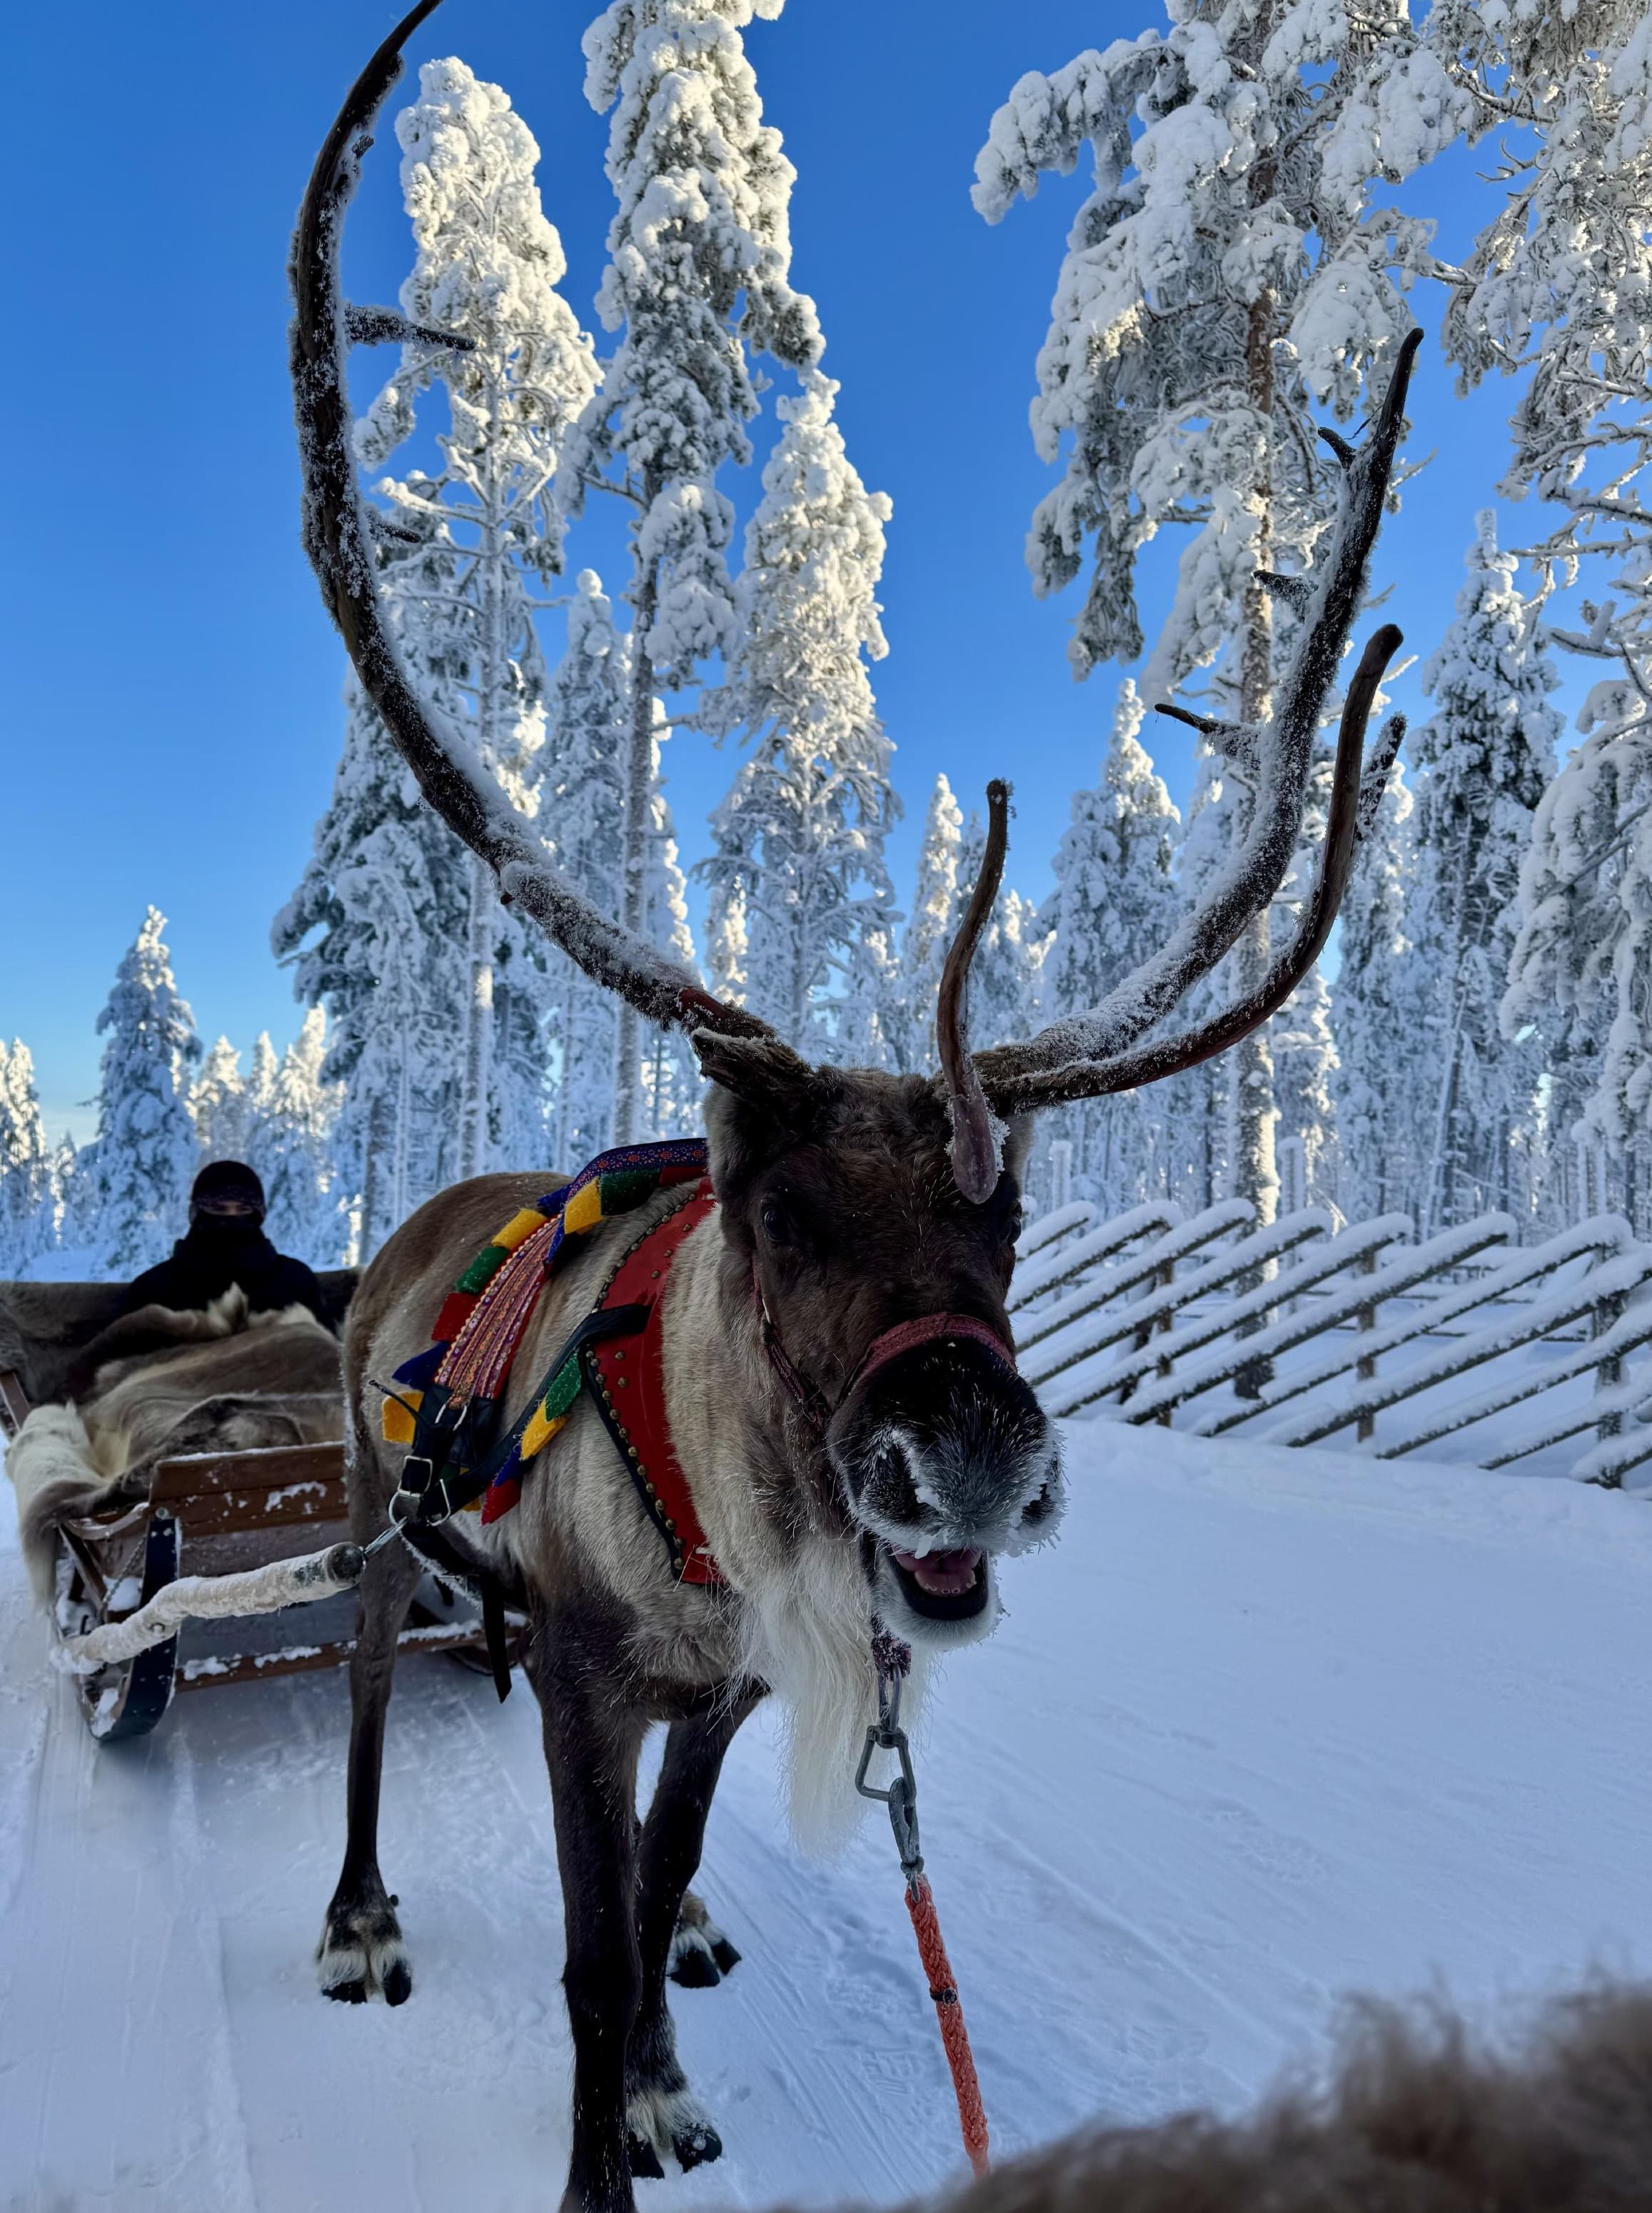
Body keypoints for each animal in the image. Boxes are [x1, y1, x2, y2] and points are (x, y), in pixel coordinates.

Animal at [289, 7, 1418, 2209]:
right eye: (780, 1215)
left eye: (1009, 1218)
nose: (964, 1450)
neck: (728, 1517)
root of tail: (405, 1219)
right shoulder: (579, 1674)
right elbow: (579, 1948)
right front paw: (596, 2143)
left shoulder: (714, 1695)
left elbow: (656, 1889)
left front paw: (661, 2065)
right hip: (378, 1527)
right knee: (375, 1675)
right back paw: (360, 1912)